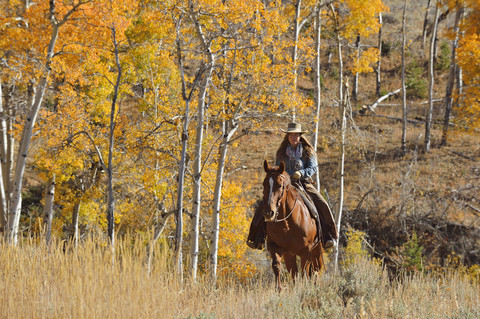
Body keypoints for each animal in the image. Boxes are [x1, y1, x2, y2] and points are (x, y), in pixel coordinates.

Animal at [260, 160, 324, 292]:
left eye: (280, 185)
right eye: (264, 184)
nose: (269, 213)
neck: (288, 224)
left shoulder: (307, 250)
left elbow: (305, 272)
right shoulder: (276, 247)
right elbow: (277, 266)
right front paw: (279, 289)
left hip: (317, 250)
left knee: (316, 270)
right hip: (290, 255)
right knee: (295, 273)